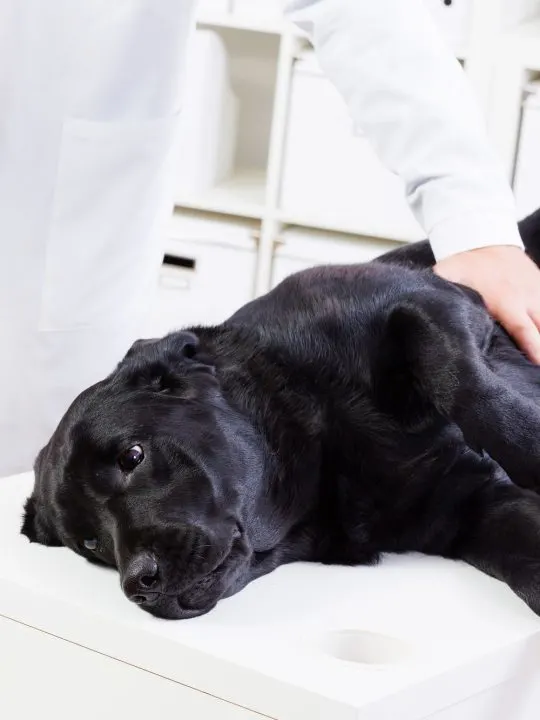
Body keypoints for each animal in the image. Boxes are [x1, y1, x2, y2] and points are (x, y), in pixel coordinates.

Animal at [22, 208, 540, 620]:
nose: (137, 582)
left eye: (132, 456)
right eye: (91, 545)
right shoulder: (474, 507)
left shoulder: (433, 302)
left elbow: (458, 377)